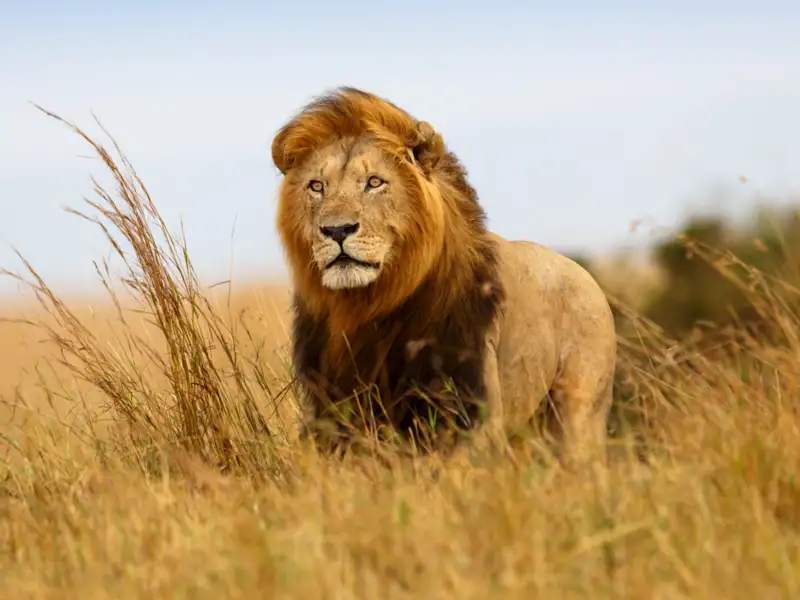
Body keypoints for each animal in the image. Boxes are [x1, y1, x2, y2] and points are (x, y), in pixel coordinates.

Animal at [270, 87, 617, 468]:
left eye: (374, 182)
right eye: (316, 186)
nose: (336, 230)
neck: (366, 307)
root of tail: (588, 277)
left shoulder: (470, 409)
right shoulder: (332, 409)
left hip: (578, 414)